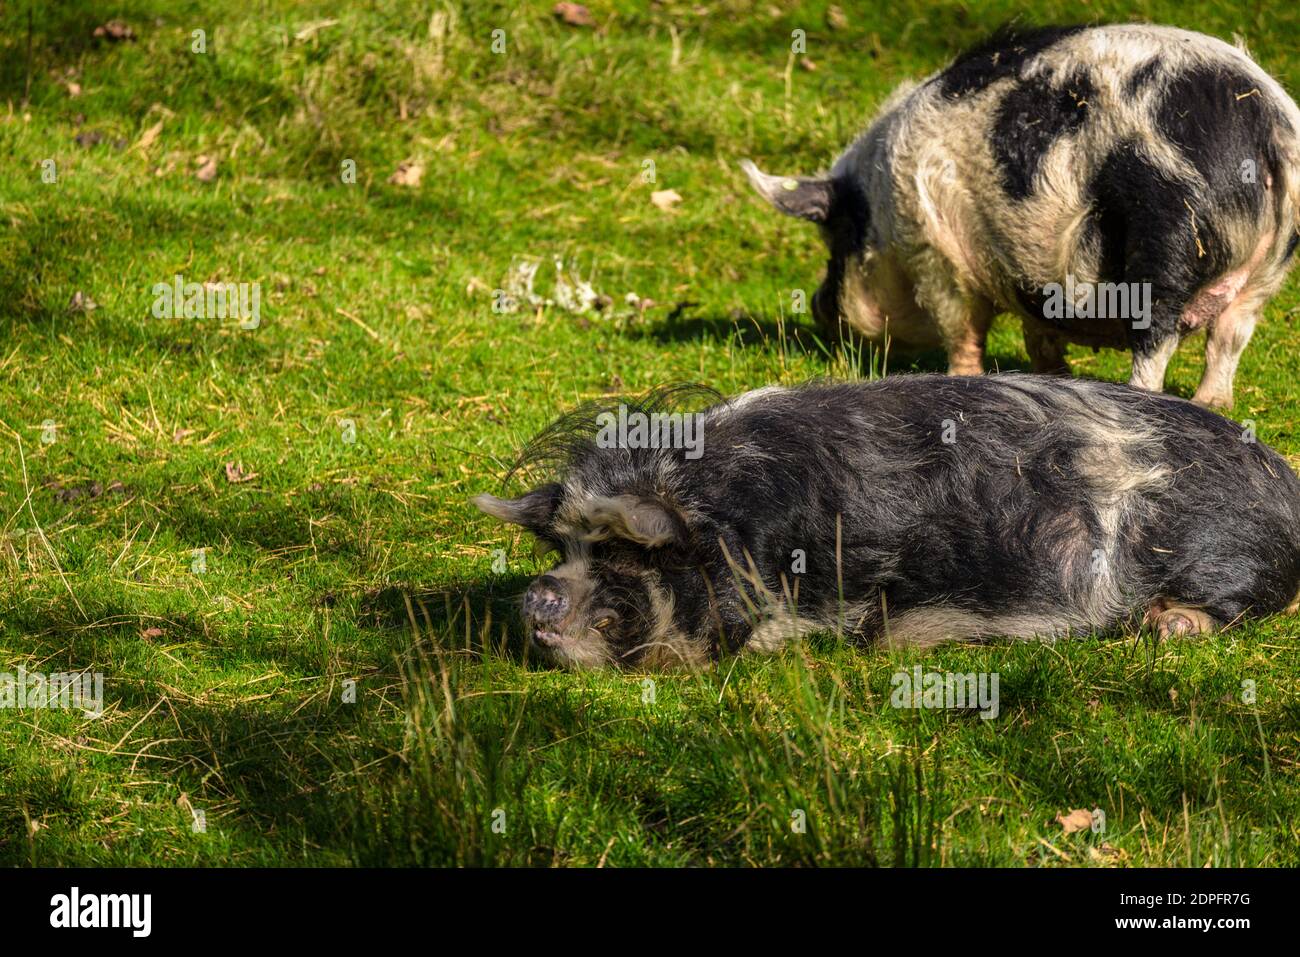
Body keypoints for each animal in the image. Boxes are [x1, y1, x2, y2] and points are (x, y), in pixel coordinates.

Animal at [743, 25, 1300, 408]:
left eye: (835, 236)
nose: (819, 305)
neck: (878, 203)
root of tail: (1266, 126)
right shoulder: (1028, 277)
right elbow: (1038, 332)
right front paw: (1055, 377)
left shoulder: (934, 250)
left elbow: (961, 326)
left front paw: (960, 380)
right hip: (1271, 266)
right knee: (1230, 336)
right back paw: (1213, 404)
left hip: (1167, 233)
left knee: (1156, 340)